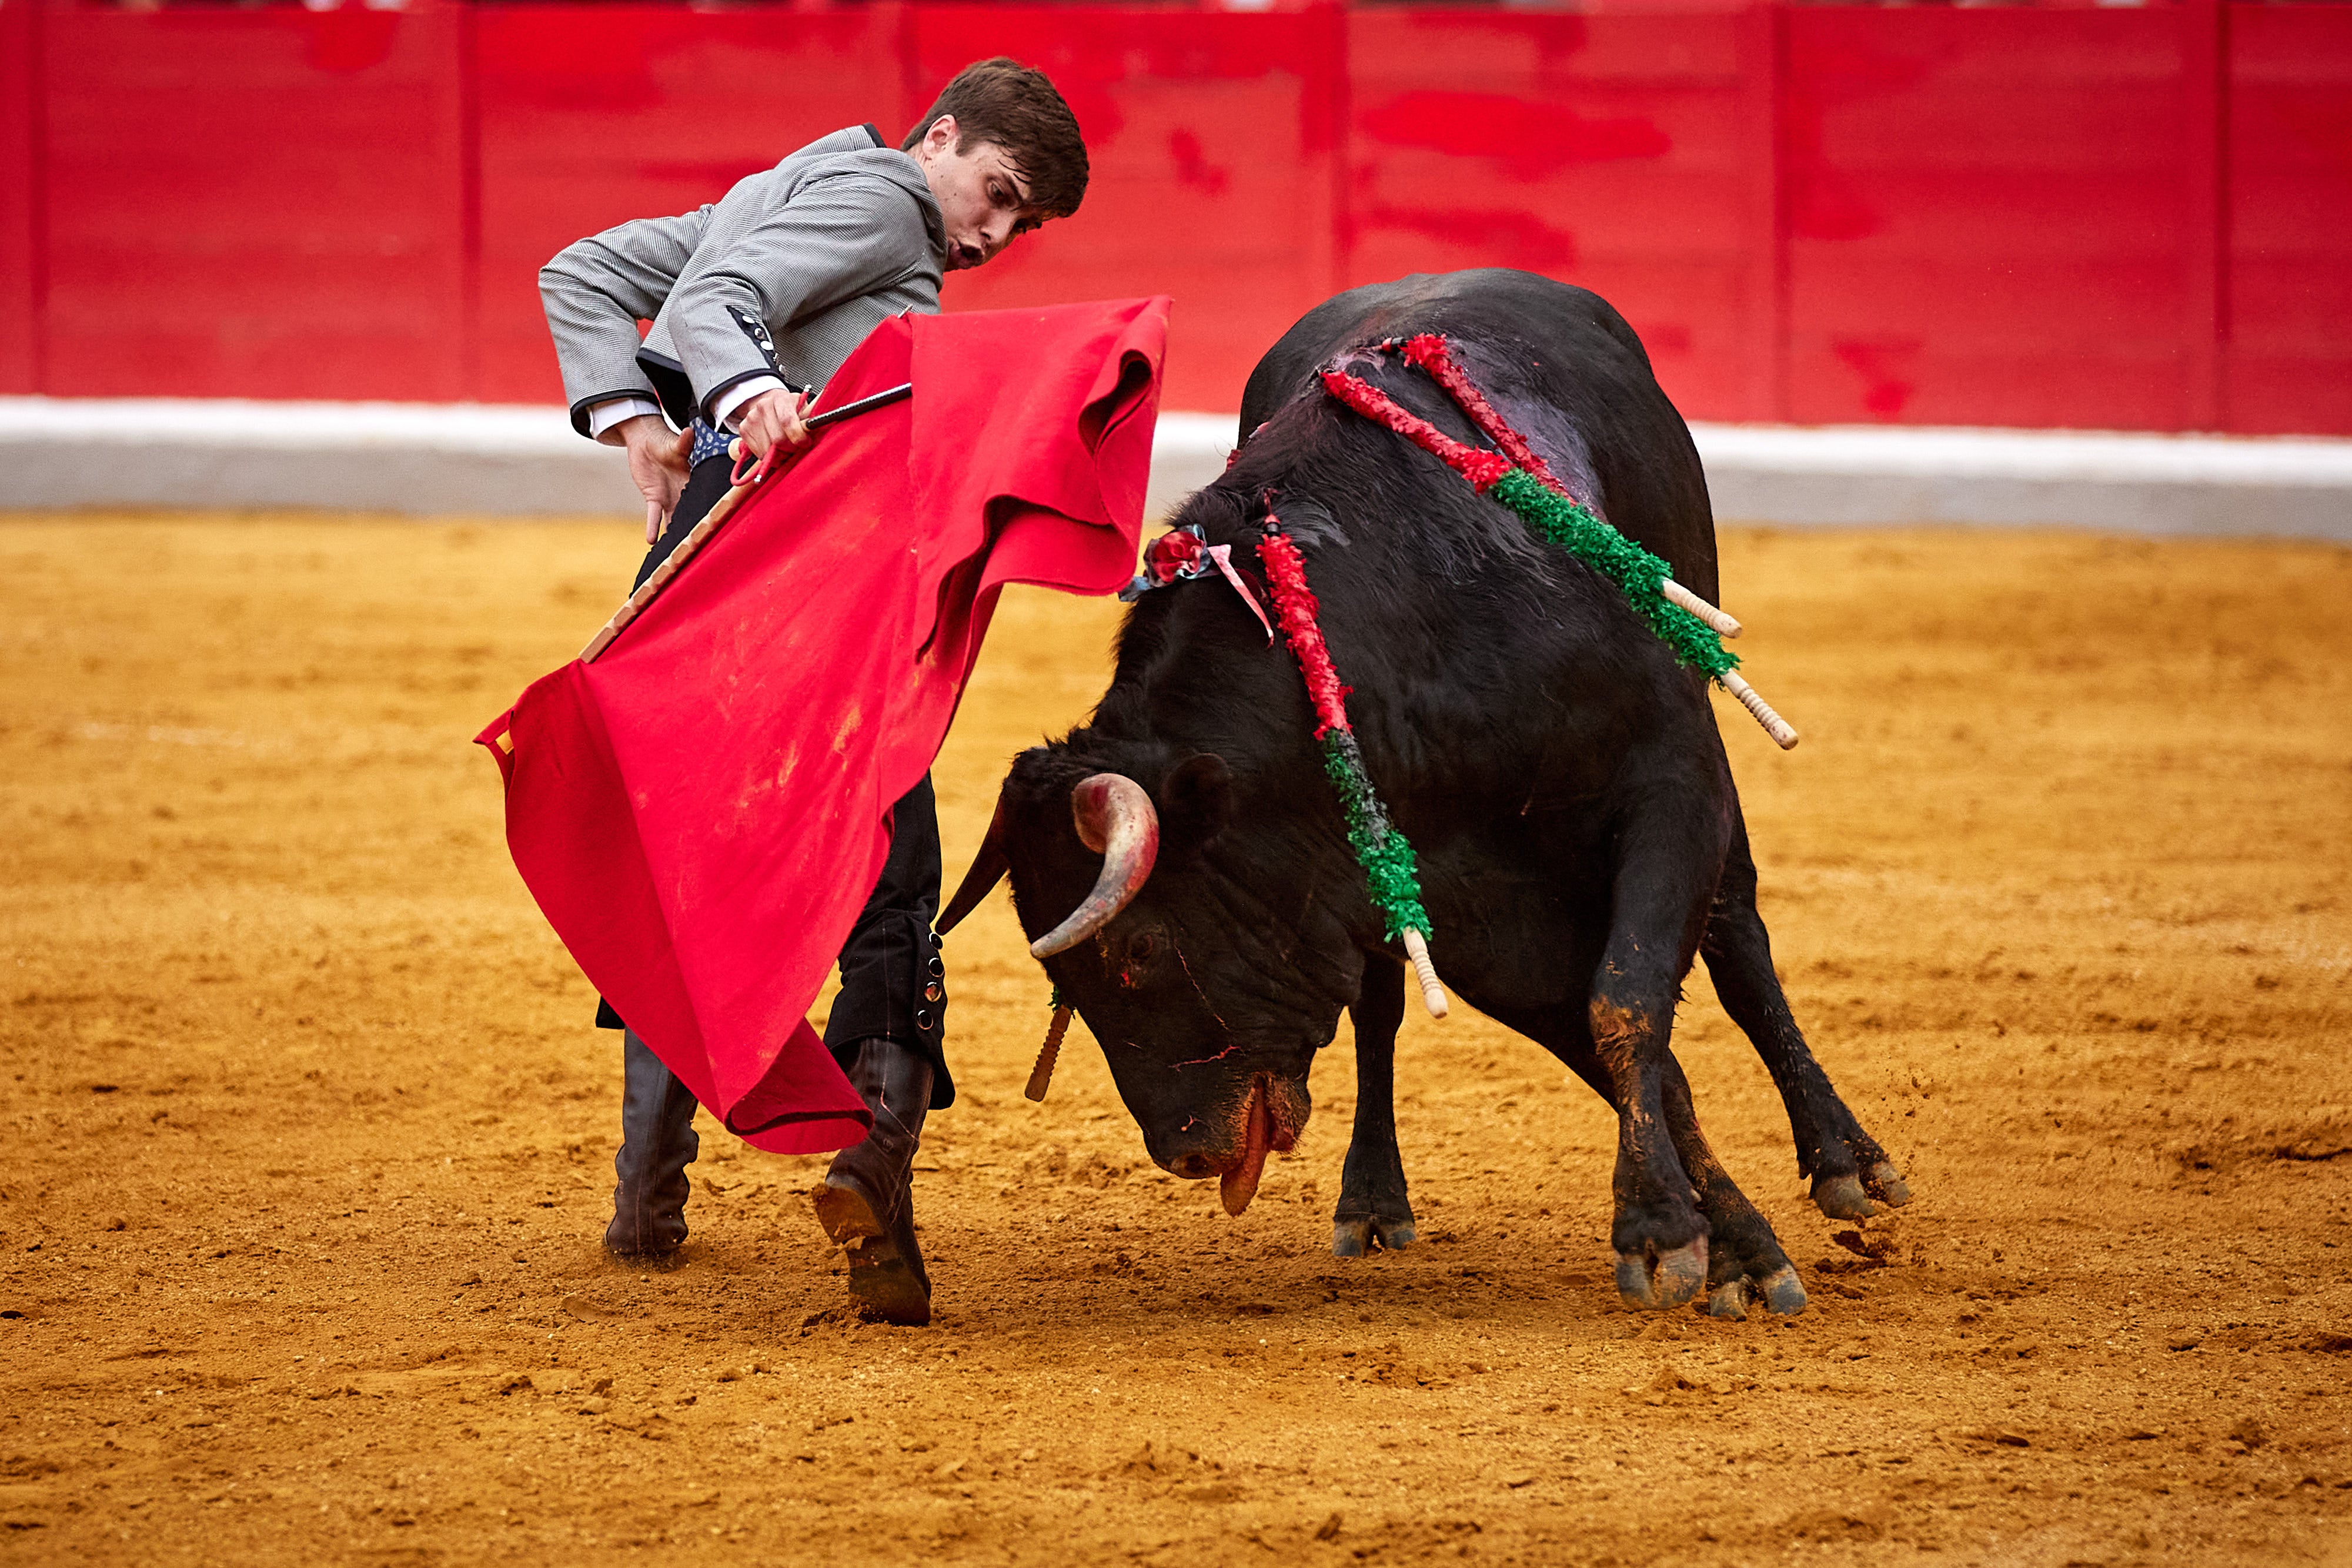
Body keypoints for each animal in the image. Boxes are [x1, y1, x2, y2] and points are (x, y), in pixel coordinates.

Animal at [936, 266, 1910, 1316]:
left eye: (1138, 949)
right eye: (1064, 979)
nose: (1185, 1152)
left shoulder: (1669, 777)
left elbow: (1629, 1000)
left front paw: (1668, 1231)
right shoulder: (1458, 906)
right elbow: (1630, 1047)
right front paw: (1718, 1239)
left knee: (1736, 936)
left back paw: (1847, 1158)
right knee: (1381, 1009)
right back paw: (1372, 1199)